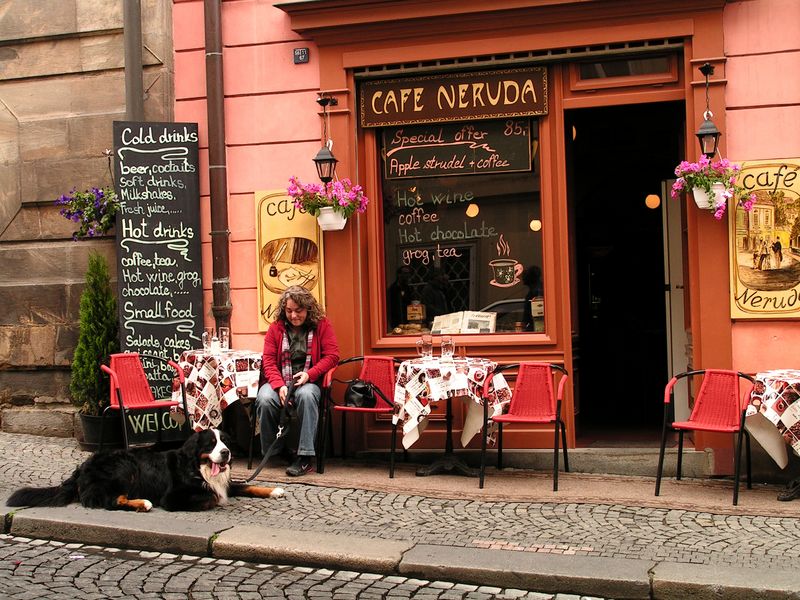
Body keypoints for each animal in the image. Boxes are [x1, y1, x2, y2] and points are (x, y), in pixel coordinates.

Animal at [4, 426, 282, 510]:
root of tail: (83, 466)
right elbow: (212, 497)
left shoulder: (224, 483)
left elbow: (247, 486)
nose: (226, 453)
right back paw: (143, 503)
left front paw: (274, 491)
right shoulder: (174, 498)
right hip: (125, 467)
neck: (196, 467)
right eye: (211, 444)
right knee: (110, 501)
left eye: (225, 441)